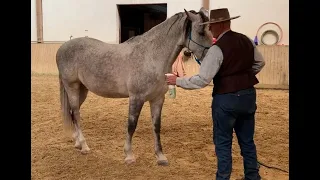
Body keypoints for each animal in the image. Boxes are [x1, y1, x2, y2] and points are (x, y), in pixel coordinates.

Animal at [56, 7, 214, 165]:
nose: (212, 55)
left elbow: (156, 126)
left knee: (72, 113)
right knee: (76, 113)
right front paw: (129, 155)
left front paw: (160, 156)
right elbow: (131, 125)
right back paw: (84, 146)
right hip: (72, 87)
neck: (151, 56)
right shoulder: (136, 98)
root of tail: (62, 47)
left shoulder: (157, 99)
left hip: (82, 90)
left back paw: (77, 143)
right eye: (201, 32)